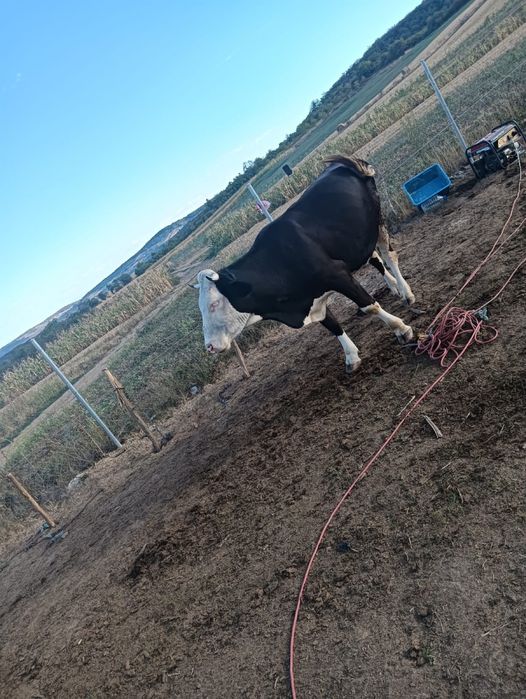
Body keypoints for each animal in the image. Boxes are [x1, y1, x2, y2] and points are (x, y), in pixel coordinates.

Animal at [195, 156, 415, 373]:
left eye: (214, 304)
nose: (210, 346)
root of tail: (343, 163)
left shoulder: (337, 274)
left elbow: (370, 306)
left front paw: (401, 329)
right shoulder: (311, 297)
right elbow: (332, 325)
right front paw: (351, 357)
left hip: (377, 220)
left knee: (389, 256)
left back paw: (406, 293)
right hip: (355, 239)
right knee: (374, 257)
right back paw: (393, 286)